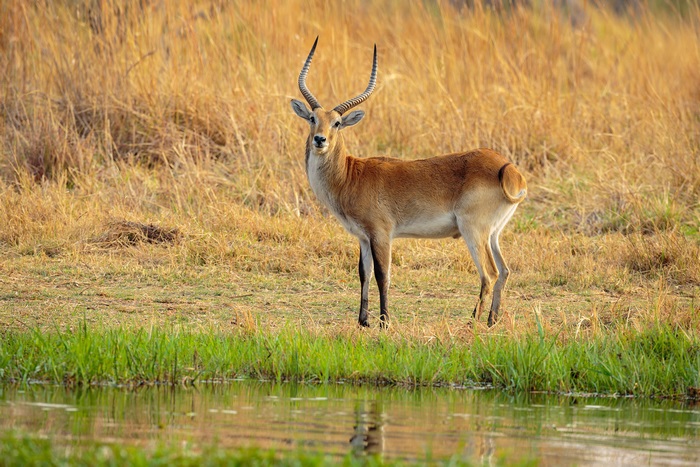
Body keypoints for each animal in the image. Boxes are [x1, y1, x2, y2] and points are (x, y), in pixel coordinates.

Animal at [290, 38, 527, 328]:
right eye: (313, 118)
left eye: (336, 123)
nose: (320, 139)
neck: (350, 175)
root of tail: (508, 169)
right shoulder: (363, 237)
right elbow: (363, 274)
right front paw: (363, 321)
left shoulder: (381, 233)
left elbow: (383, 276)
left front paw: (384, 322)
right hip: (493, 233)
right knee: (504, 270)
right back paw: (492, 321)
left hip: (474, 231)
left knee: (490, 273)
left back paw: (472, 322)